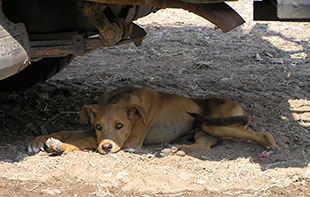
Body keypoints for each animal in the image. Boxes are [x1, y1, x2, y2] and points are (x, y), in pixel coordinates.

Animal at [27, 86, 278, 157]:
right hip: (204, 131)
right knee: (202, 146)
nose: (106, 148)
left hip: (214, 123)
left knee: (261, 133)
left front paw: (60, 146)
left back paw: (270, 145)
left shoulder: (131, 142)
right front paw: (41, 139)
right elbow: (70, 131)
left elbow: (84, 141)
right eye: (98, 126)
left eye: (120, 126)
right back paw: (176, 150)